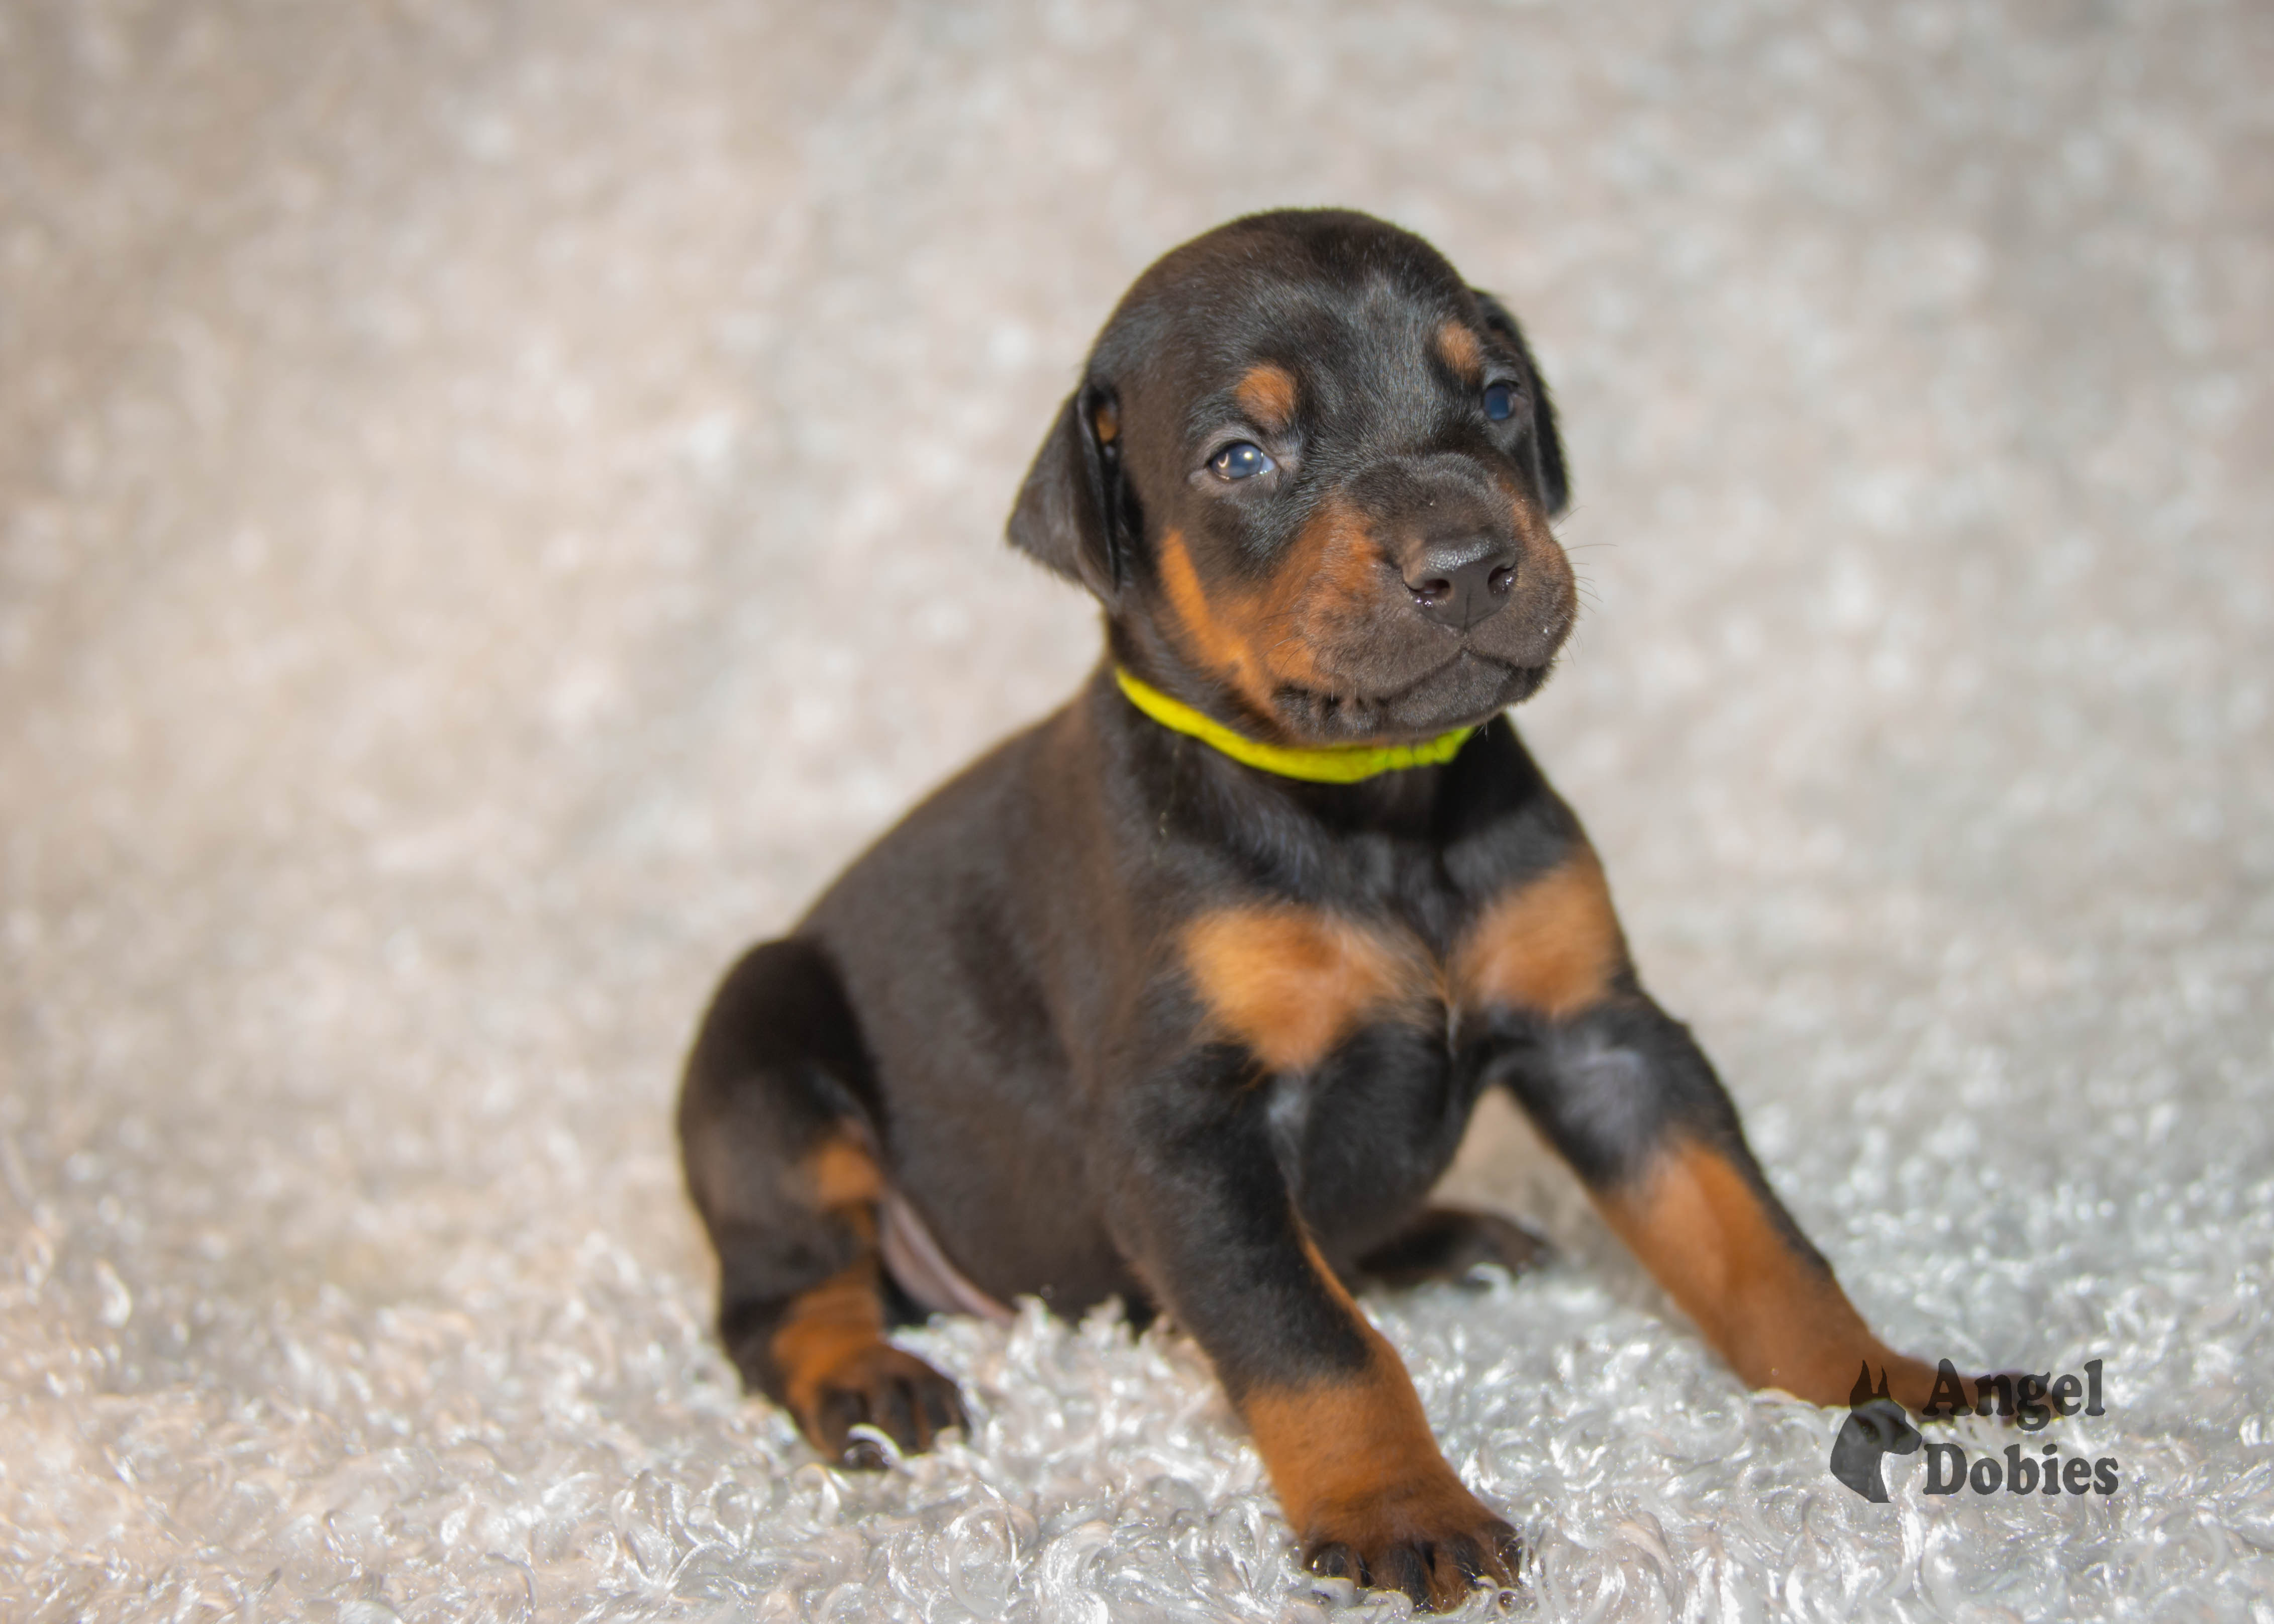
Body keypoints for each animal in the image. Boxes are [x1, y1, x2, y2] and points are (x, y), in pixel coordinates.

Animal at [673, 211, 1955, 1610]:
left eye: (1497, 397)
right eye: (1242, 456)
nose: (1466, 564)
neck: (1374, 816)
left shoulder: (1604, 1037)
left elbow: (1748, 1233)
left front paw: (1885, 1382)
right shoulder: (1186, 1133)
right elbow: (1311, 1337)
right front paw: (1403, 1508)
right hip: (762, 1043)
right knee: (773, 1297)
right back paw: (864, 1373)